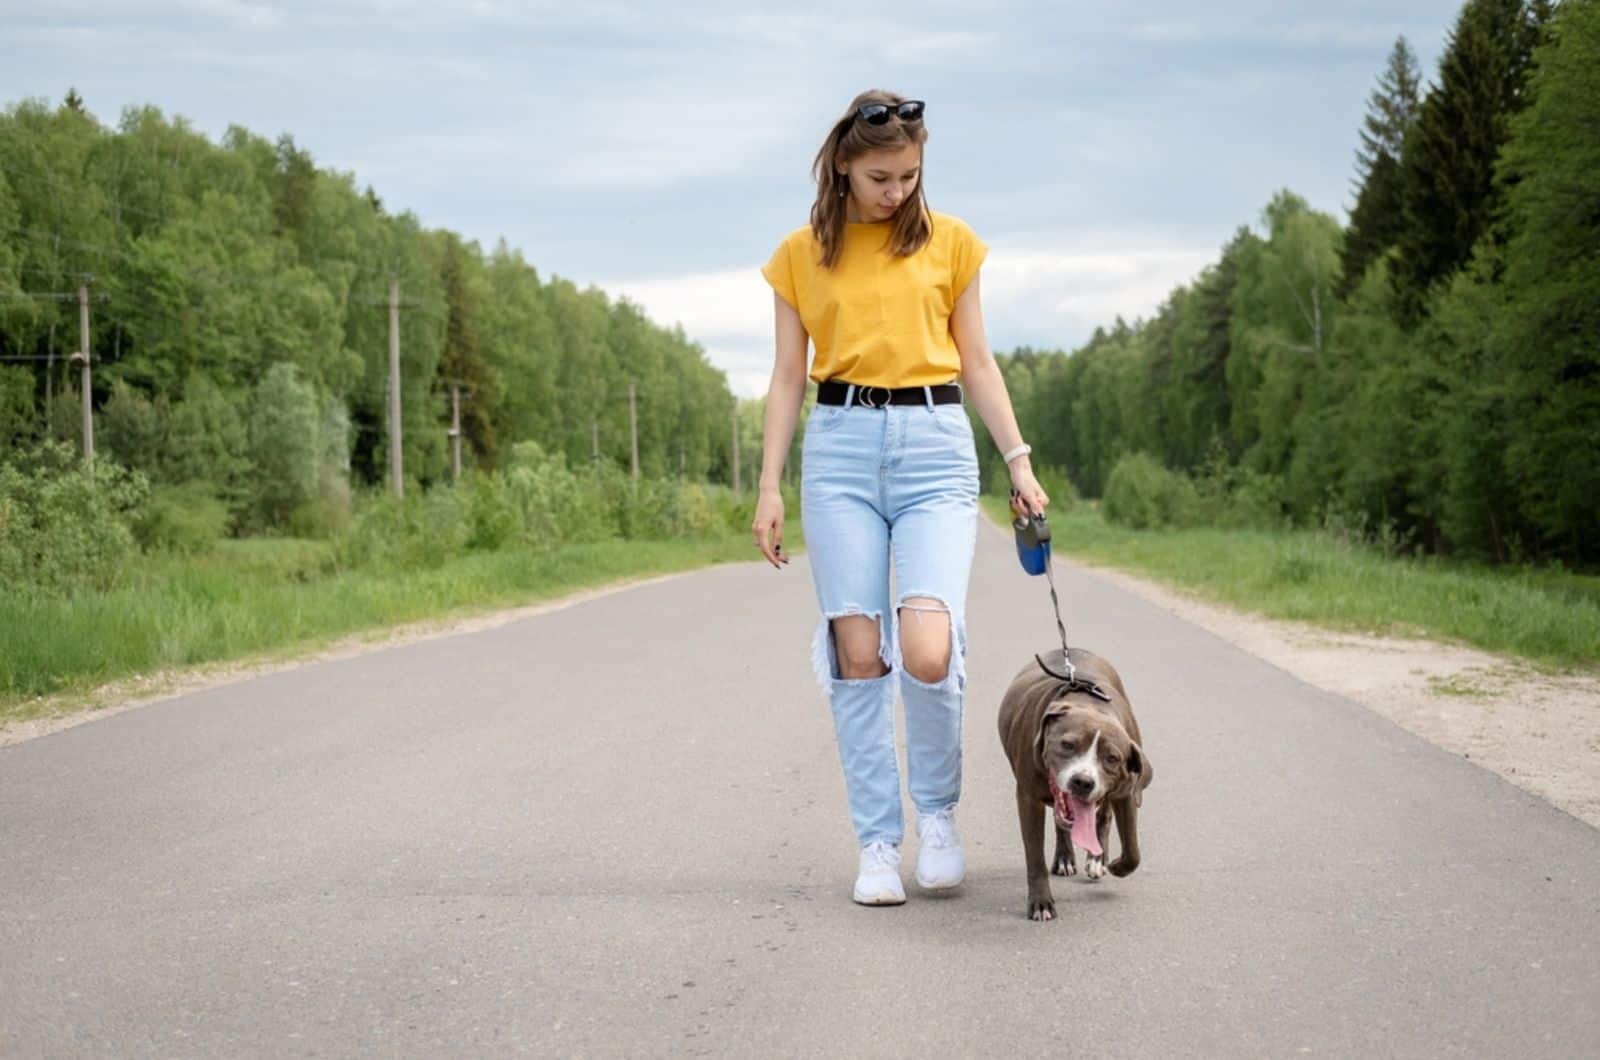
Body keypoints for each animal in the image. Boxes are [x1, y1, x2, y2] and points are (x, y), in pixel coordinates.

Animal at [998, 643, 1152, 928]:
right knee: (1062, 824)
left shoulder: (1127, 793)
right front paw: (1041, 903)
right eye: (1067, 744)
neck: (1091, 707)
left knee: (1102, 817)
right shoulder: (1028, 799)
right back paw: (1065, 858)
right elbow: (1034, 857)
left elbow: (1133, 851)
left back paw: (1096, 858)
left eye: (1112, 758)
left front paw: (1113, 864)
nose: (1083, 782)